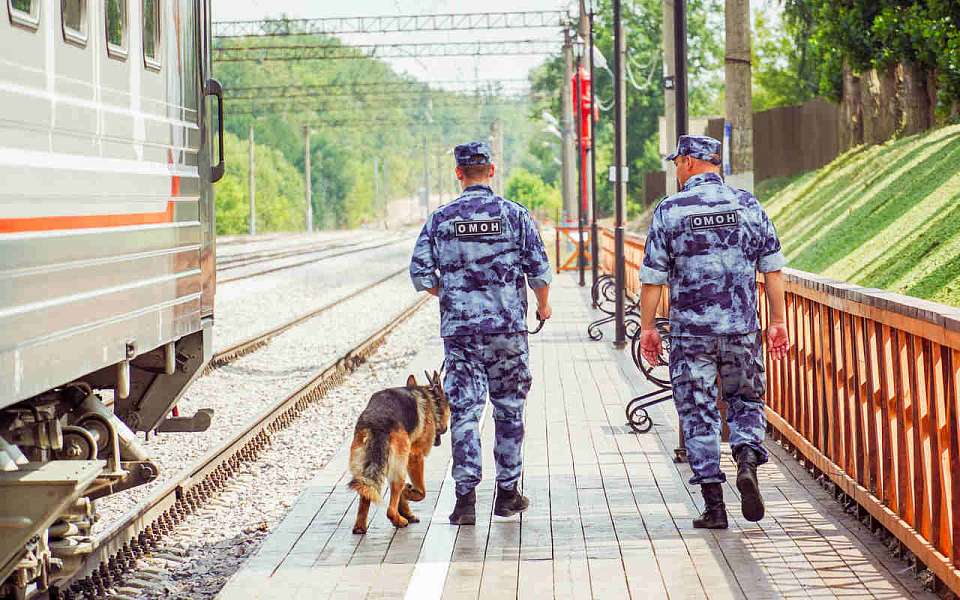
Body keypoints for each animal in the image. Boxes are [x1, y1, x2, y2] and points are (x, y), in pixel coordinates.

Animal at [350, 370, 452, 536]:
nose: (444, 429)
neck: (429, 397)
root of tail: (377, 423)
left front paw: (406, 509)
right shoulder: (415, 457)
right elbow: (421, 491)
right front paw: (408, 496)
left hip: (363, 472)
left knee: (366, 495)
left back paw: (360, 527)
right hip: (399, 470)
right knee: (391, 507)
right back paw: (399, 520)